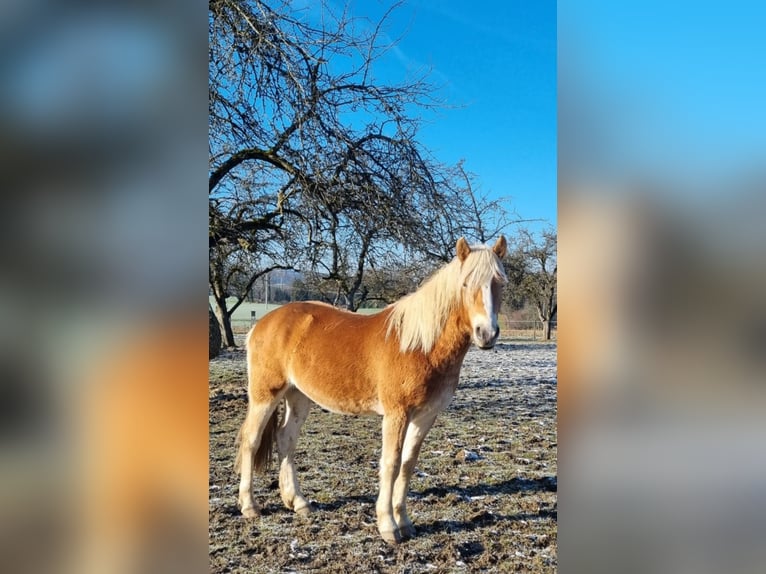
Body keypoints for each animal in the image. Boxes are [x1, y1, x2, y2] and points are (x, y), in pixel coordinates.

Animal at [234, 235, 510, 544]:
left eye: (500, 283)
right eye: (464, 284)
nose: (486, 333)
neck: (419, 346)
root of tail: (261, 324)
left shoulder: (426, 415)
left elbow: (408, 464)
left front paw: (405, 523)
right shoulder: (396, 414)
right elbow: (390, 463)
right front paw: (388, 526)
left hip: (298, 396)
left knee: (286, 439)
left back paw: (298, 502)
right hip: (265, 395)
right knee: (251, 440)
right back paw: (249, 506)